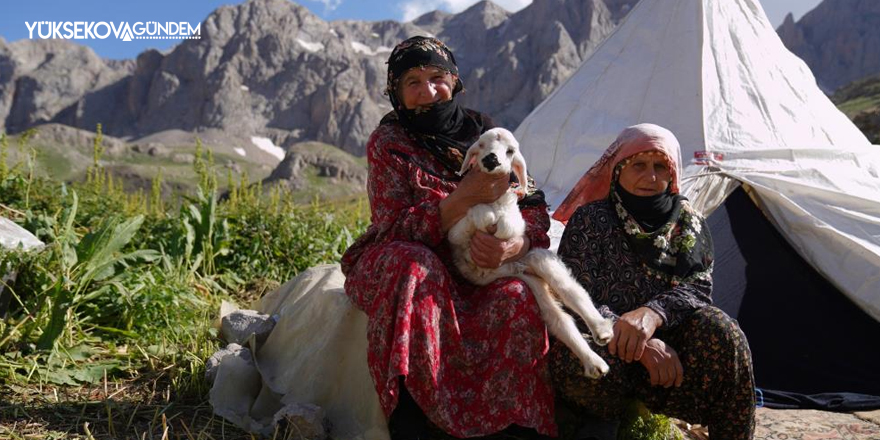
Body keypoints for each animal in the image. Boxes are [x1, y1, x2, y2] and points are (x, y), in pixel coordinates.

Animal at [446, 127, 612, 378]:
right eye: (481, 145)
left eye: (510, 151)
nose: (491, 159)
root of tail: (522, 267)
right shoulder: (454, 232)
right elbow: (473, 217)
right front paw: (485, 215)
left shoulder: (517, 225)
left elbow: (508, 226)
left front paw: (497, 220)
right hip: (529, 282)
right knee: (559, 319)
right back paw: (594, 364)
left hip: (538, 257)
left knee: (572, 291)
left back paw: (602, 331)